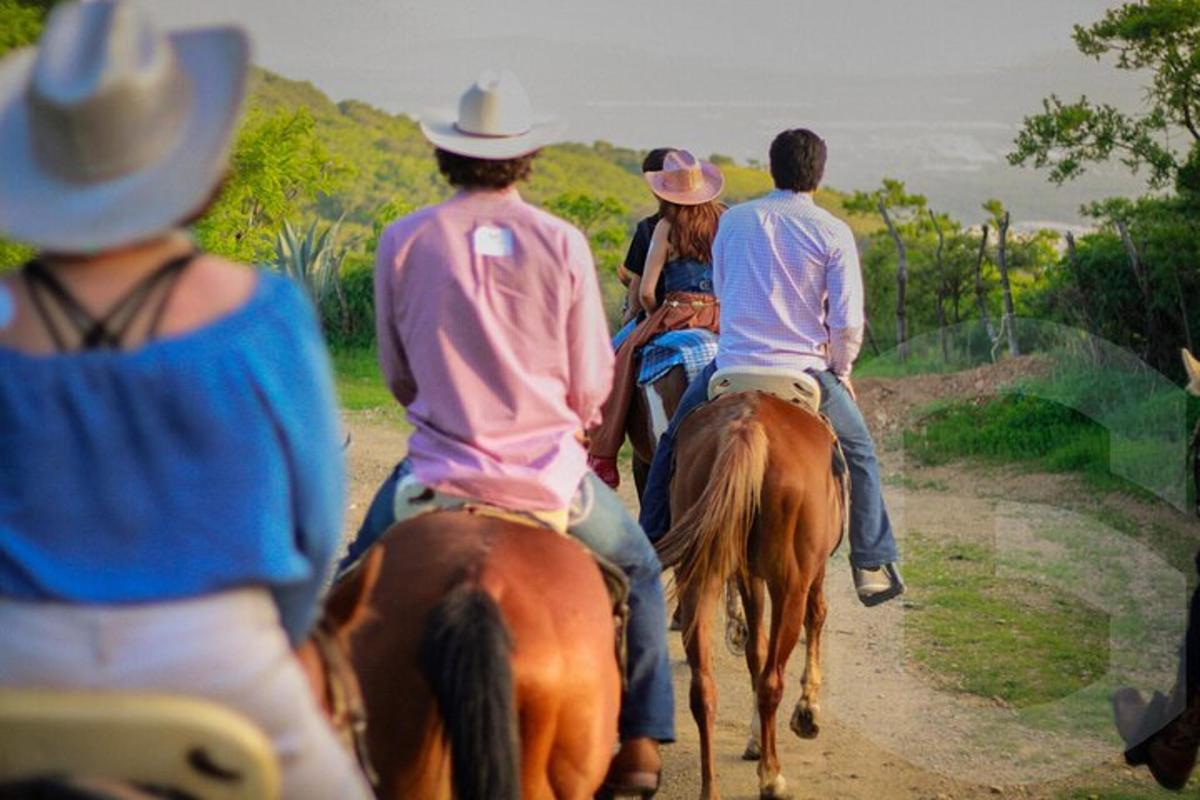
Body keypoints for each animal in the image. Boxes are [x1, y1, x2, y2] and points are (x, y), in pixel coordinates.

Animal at [656, 392, 846, 800]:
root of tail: (746, 426)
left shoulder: (747, 574)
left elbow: (754, 650)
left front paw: (756, 739)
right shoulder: (811, 572)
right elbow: (817, 616)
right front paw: (807, 712)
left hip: (701, 575)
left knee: (703, 689)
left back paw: (711, 789)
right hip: (790, 583)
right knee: (773, 679)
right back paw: (772, 779)